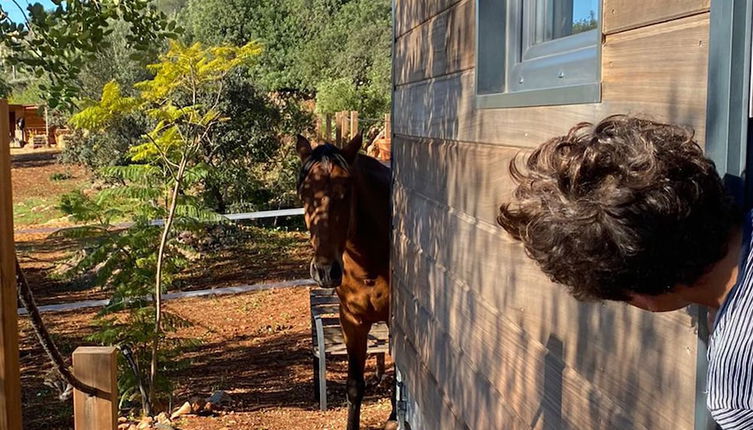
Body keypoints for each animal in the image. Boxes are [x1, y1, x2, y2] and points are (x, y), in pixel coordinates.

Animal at [296, 134, 396, 430]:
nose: (325, 270)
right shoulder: (351, 320)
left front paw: (394, 418)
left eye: (346, 190)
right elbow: (354, 385)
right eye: (304, 193)